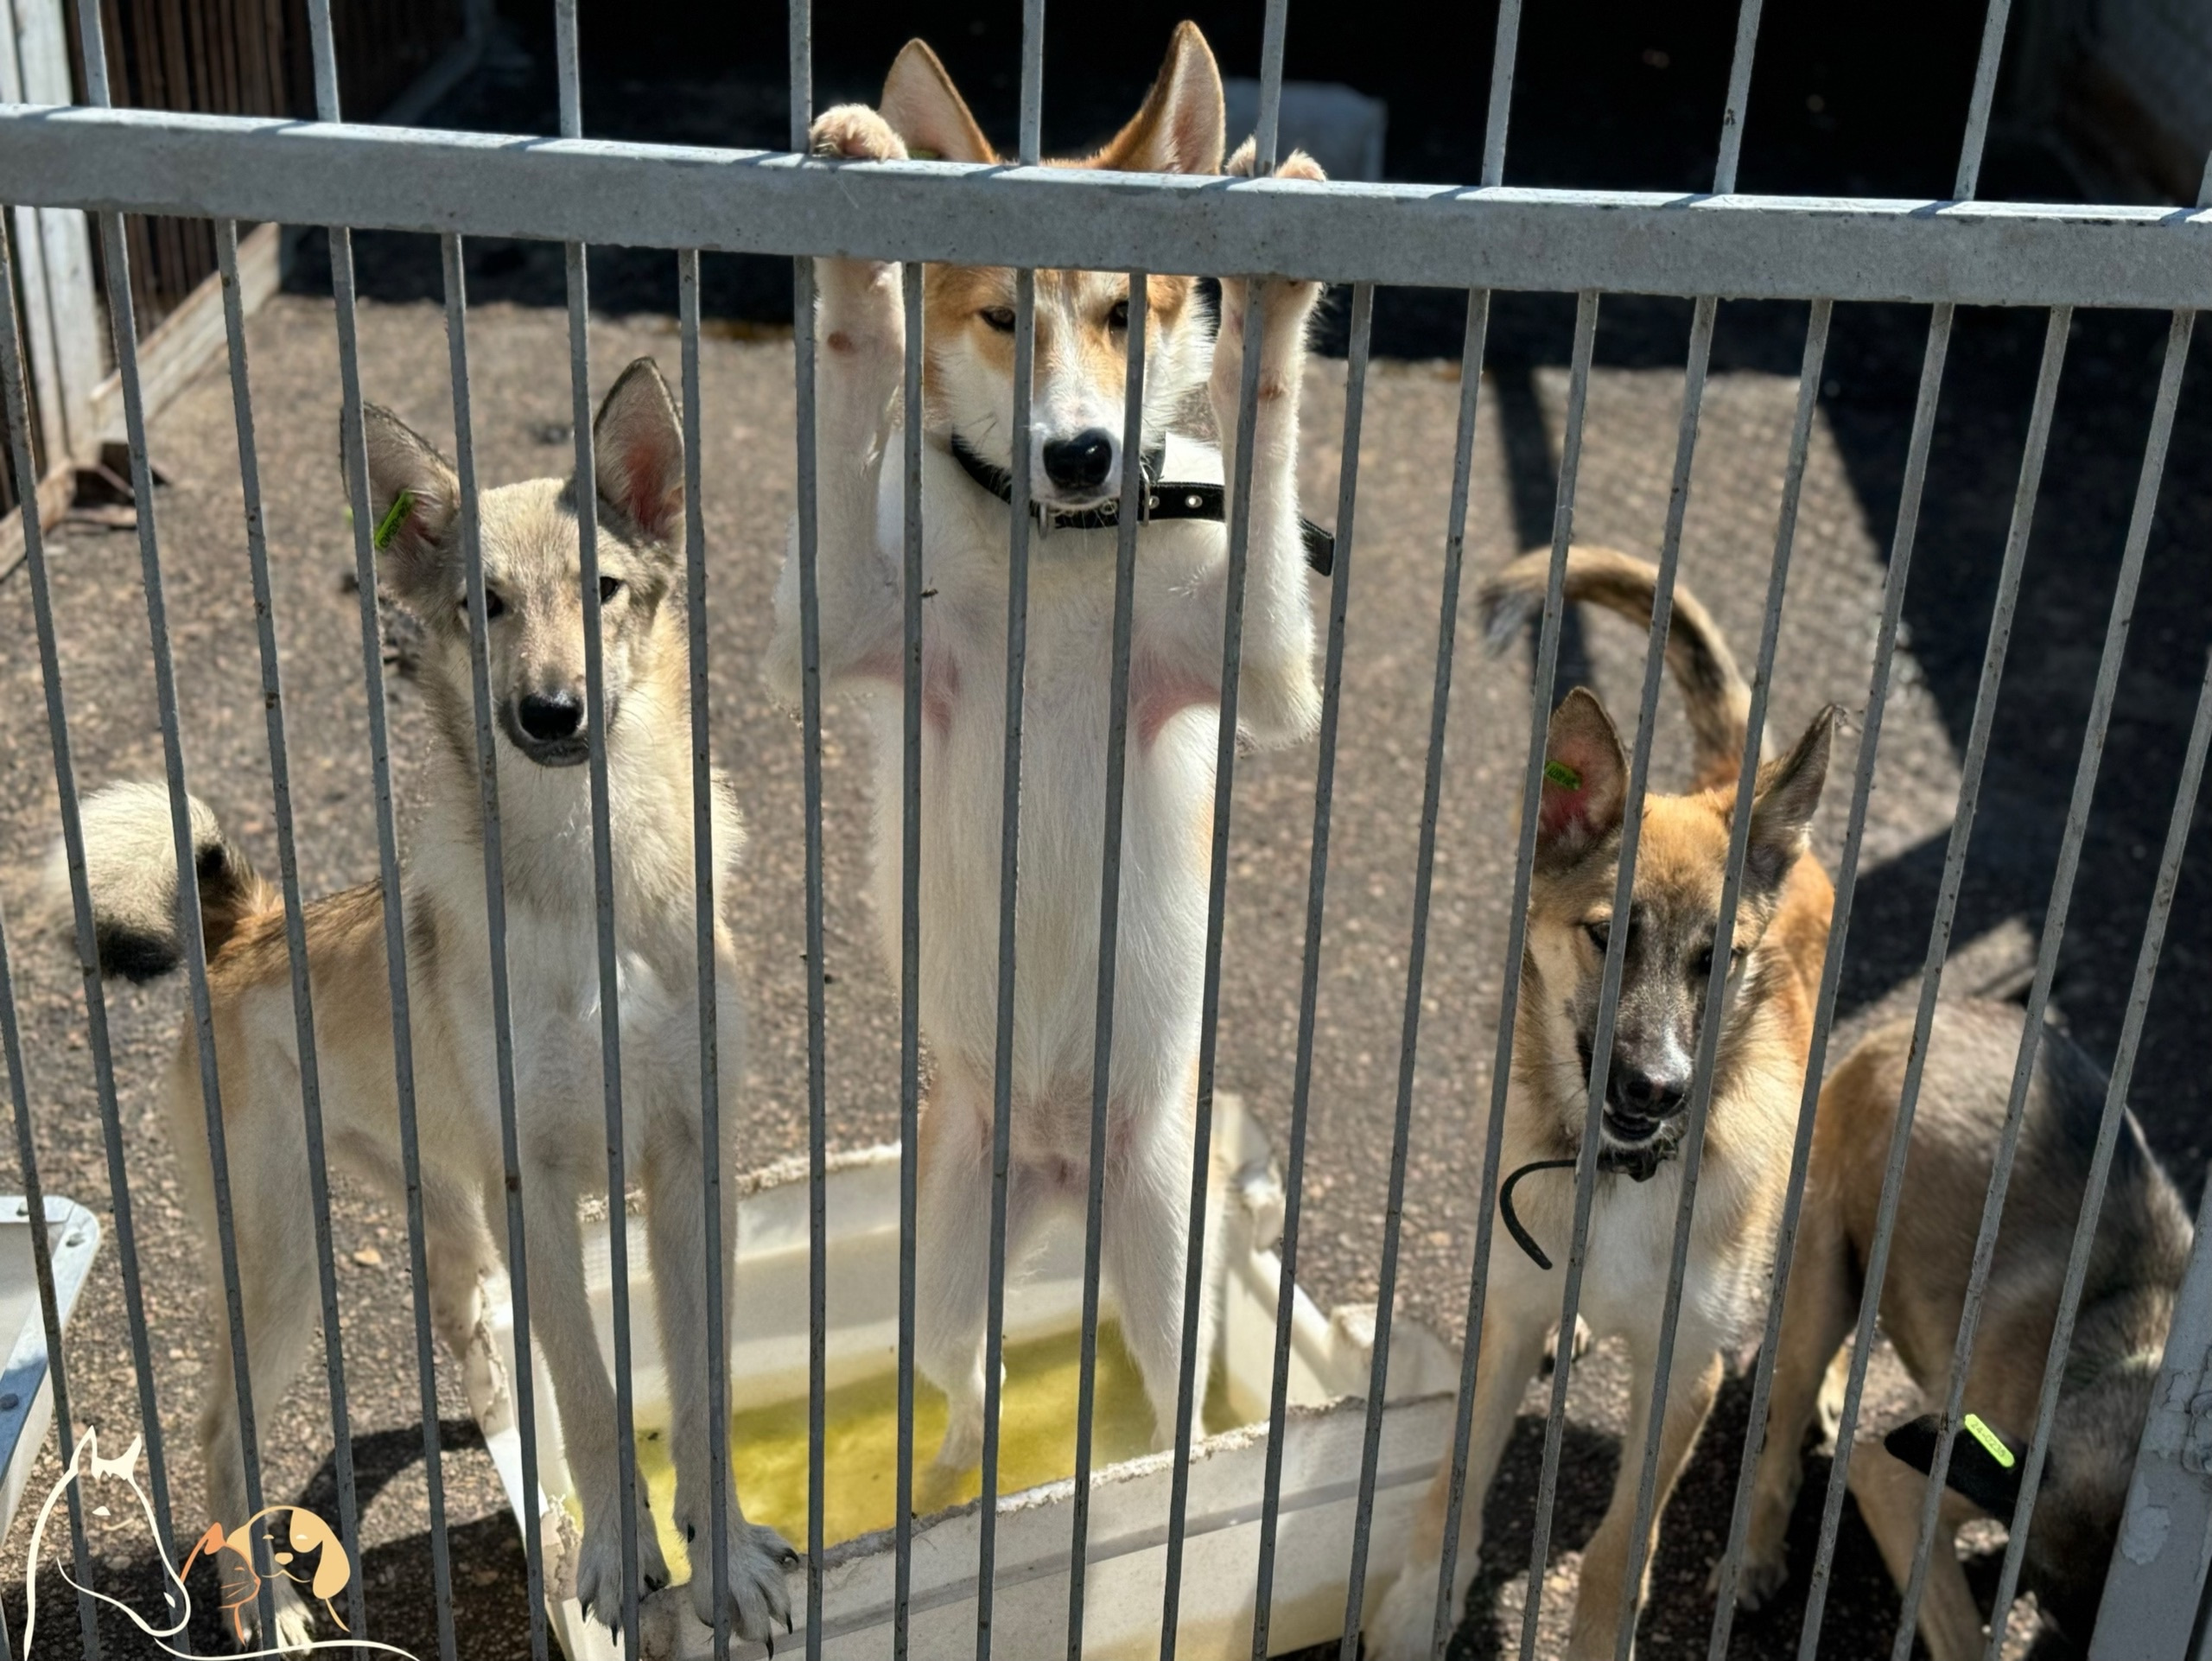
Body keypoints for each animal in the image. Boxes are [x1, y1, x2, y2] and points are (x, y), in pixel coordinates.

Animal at [55, 353, 800, 1654]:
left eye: (602, 590)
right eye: (481, 605)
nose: (549, 713)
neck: (589, 885)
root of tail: (245, 926)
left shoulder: (687, 1163)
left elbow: (696, 1389)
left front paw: (728, 1562)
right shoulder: (537, 1190)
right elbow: (596, 1397)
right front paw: (618, 1561)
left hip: (447, 1217)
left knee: (474, 1341)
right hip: (285, 1267)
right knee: (218, 1438)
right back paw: (271, 1612)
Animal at [1362, 548, 1831, 1661]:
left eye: (1719, 958)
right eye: (1606, 934)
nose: (1655, 1086)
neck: (1621, 1180)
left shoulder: (1685, 1373)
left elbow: (1619, 1554)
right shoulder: (1497, 1319)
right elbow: (1452, 1481)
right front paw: (1415, 1608)